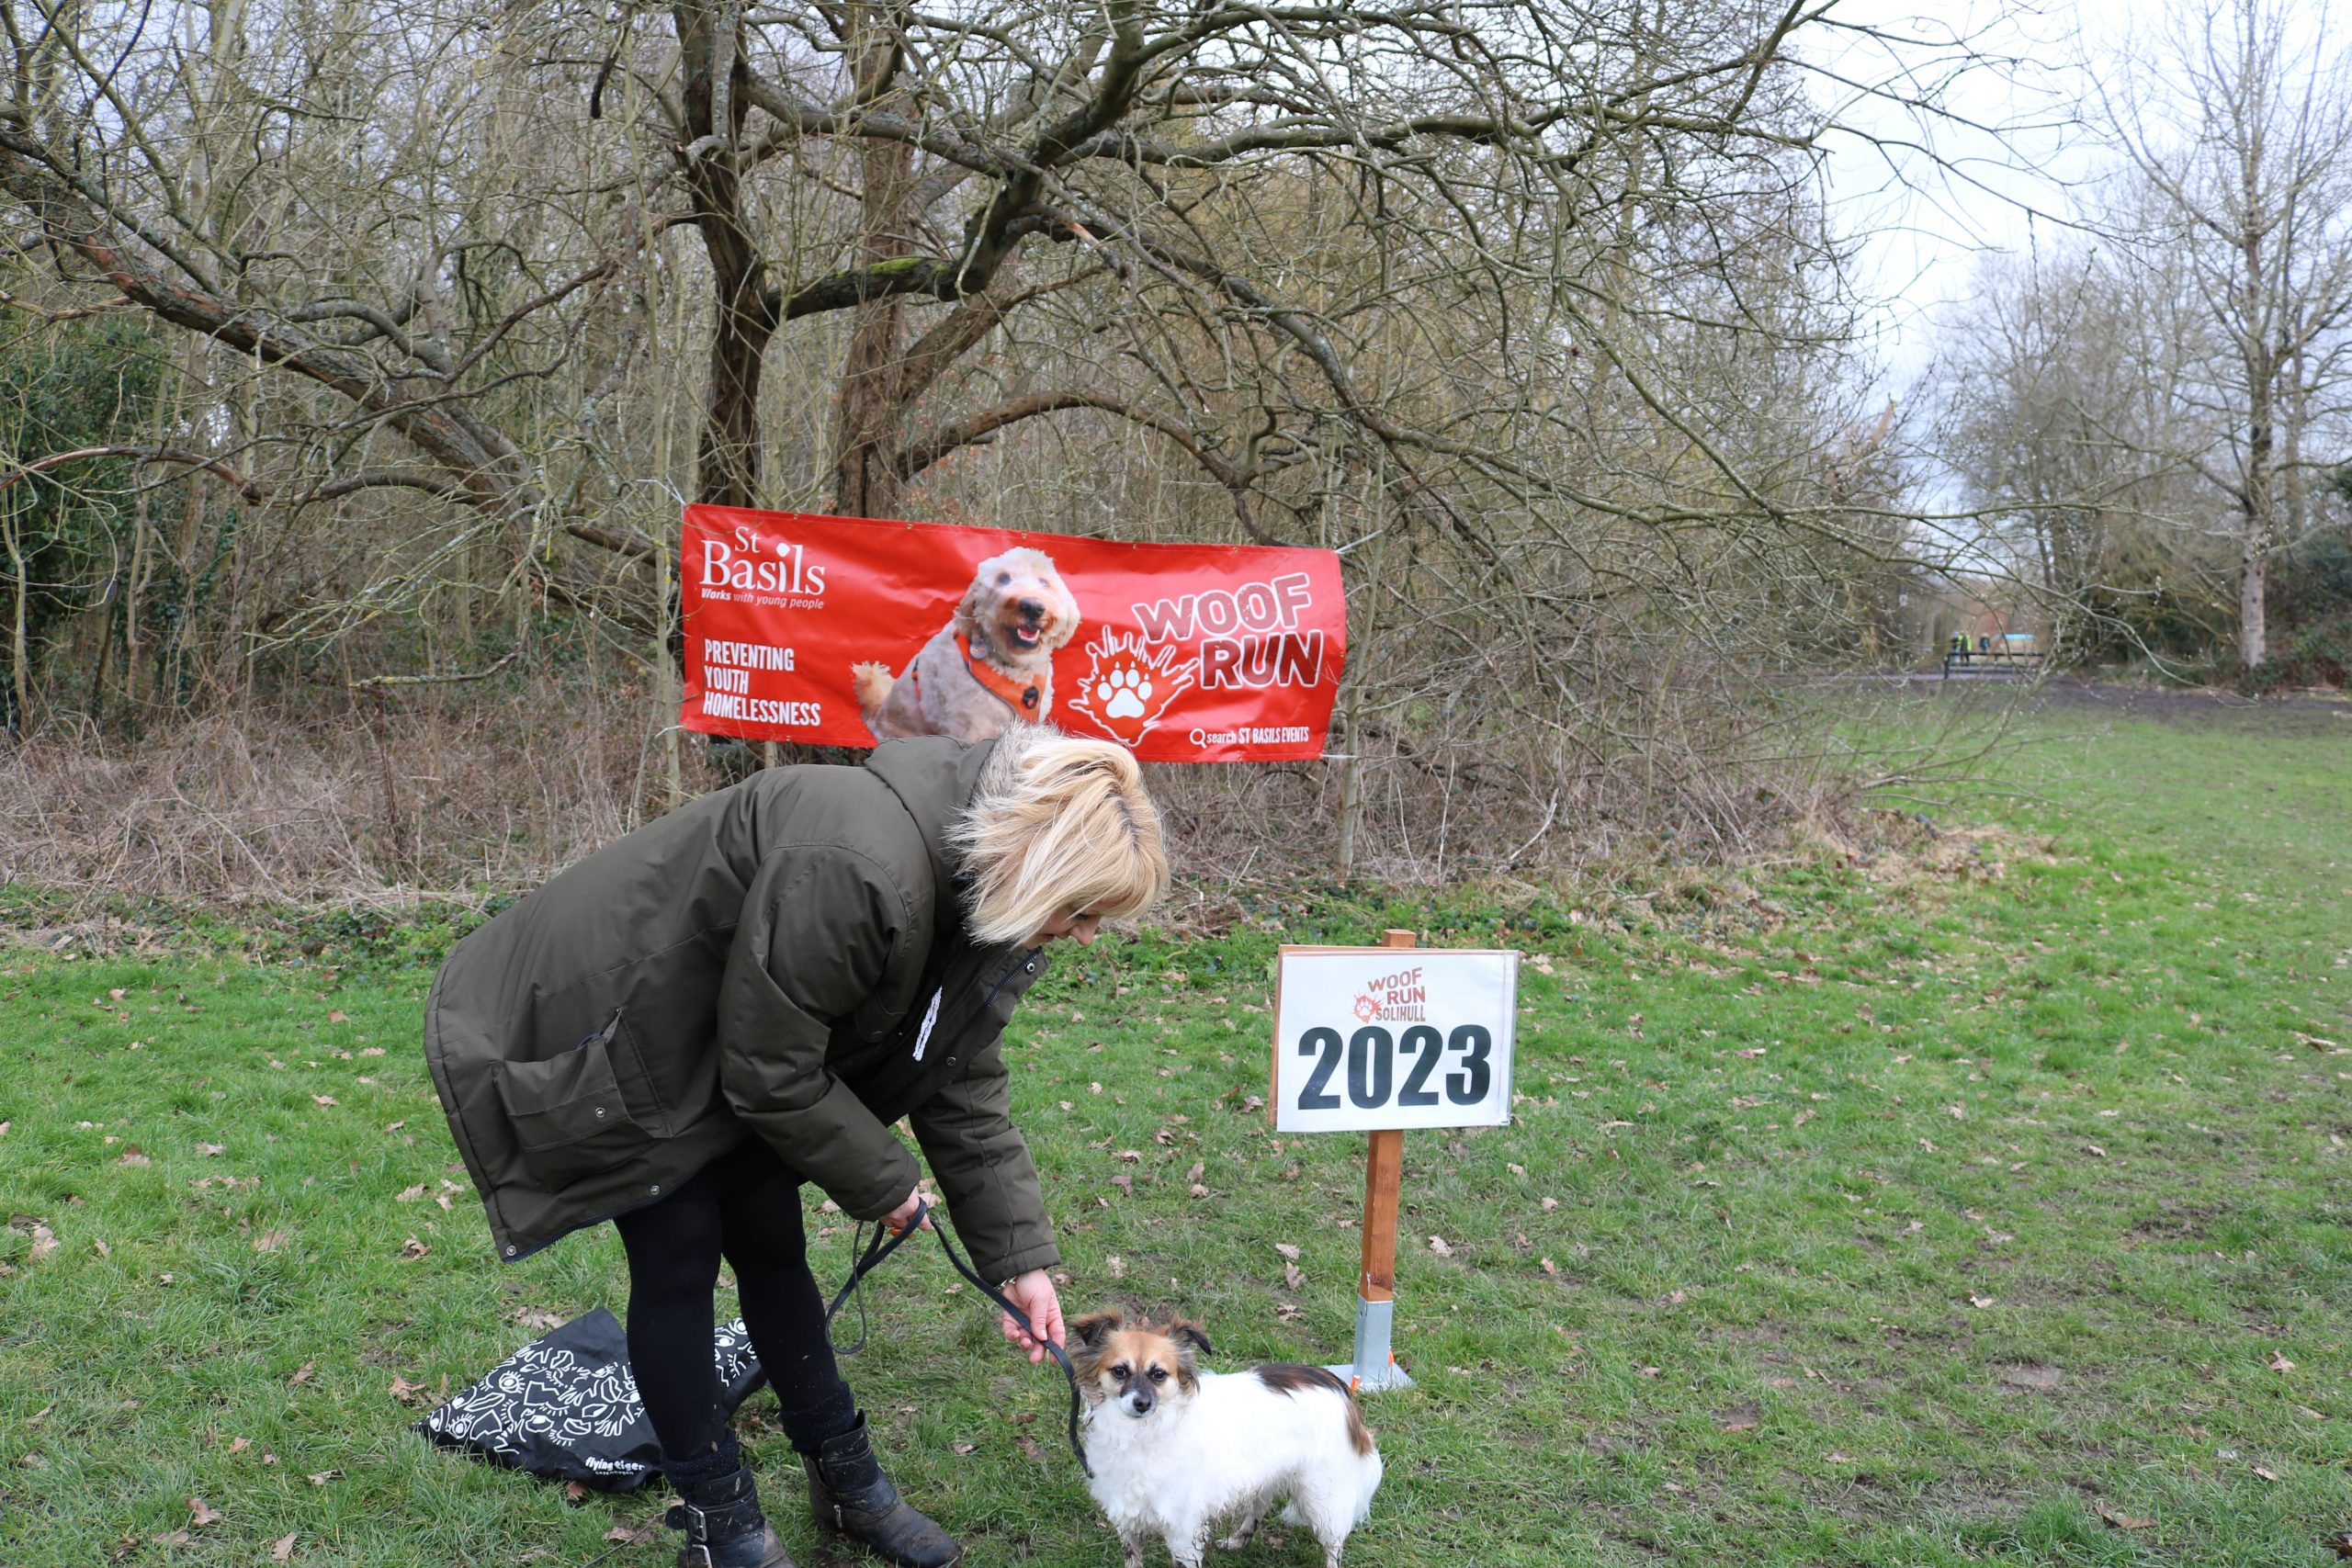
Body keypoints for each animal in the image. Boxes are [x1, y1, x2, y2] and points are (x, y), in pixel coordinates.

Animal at [1070, 1308, 1383, 1568]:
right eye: (1119, 1371)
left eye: (1159, 1374)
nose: (1142, 1403)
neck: (1142, 1432)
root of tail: (1339, 1388)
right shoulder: (1127, 1517)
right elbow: (1132, 1557)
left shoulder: (1184, 1528)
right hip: (1267, 1474)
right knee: (1258, 1508)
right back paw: (1237, 1540)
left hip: (1324, 1495)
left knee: (1333, 1544)